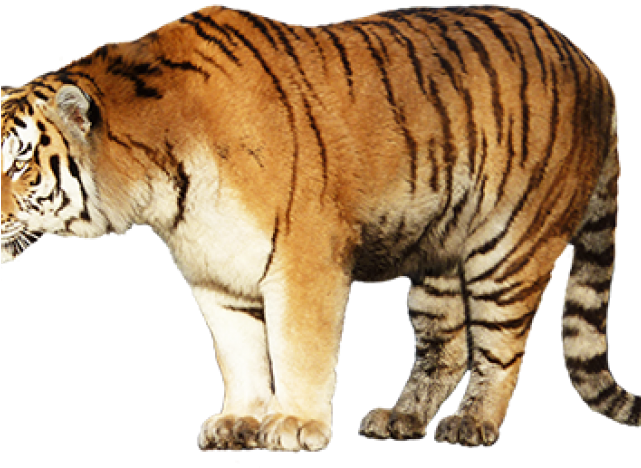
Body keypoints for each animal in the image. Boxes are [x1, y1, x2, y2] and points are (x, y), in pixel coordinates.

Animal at [1, 3, 638, 451]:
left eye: (18, 163)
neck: (160, 183)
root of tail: (590, 63)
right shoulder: (216, 276)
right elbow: (240, 353)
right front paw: (240, 421)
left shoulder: (303, 259)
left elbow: (297, 347)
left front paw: (296, 424)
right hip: (438, 250)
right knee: (446, 345)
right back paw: (401, 418)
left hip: (508, 246)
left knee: (501, 348)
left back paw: (473, 423)